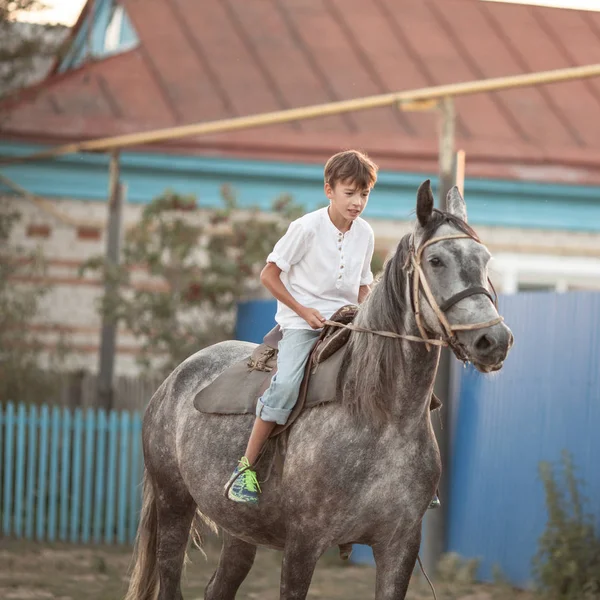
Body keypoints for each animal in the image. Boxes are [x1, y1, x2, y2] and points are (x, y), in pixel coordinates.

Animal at [125, 180, 510, 596]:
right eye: (436, 261)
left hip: (239, 531)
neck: (382, 419)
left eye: (484, 259)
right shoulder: (303, 544)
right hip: (174, 504)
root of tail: (172, 380)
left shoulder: (400, 547)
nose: (494, 340)